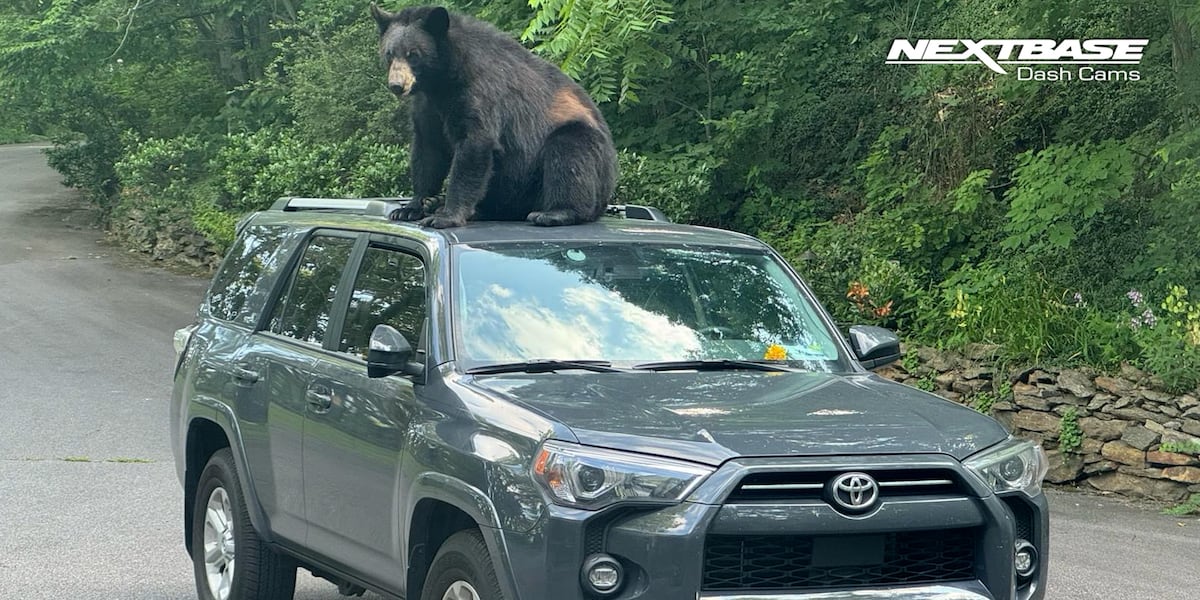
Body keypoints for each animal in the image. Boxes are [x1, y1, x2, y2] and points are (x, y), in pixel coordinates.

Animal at [369, 5, 619, 226]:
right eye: (389, 54)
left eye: (413, 54)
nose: (397, 85)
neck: (441, 80)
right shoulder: (427, 105)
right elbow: (428, 148)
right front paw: (411, 207)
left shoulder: (478, 91)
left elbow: (474, 143)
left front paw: (447, 216)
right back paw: (447, 205)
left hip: (578, 149)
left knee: (570, 155)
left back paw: (554, 213)